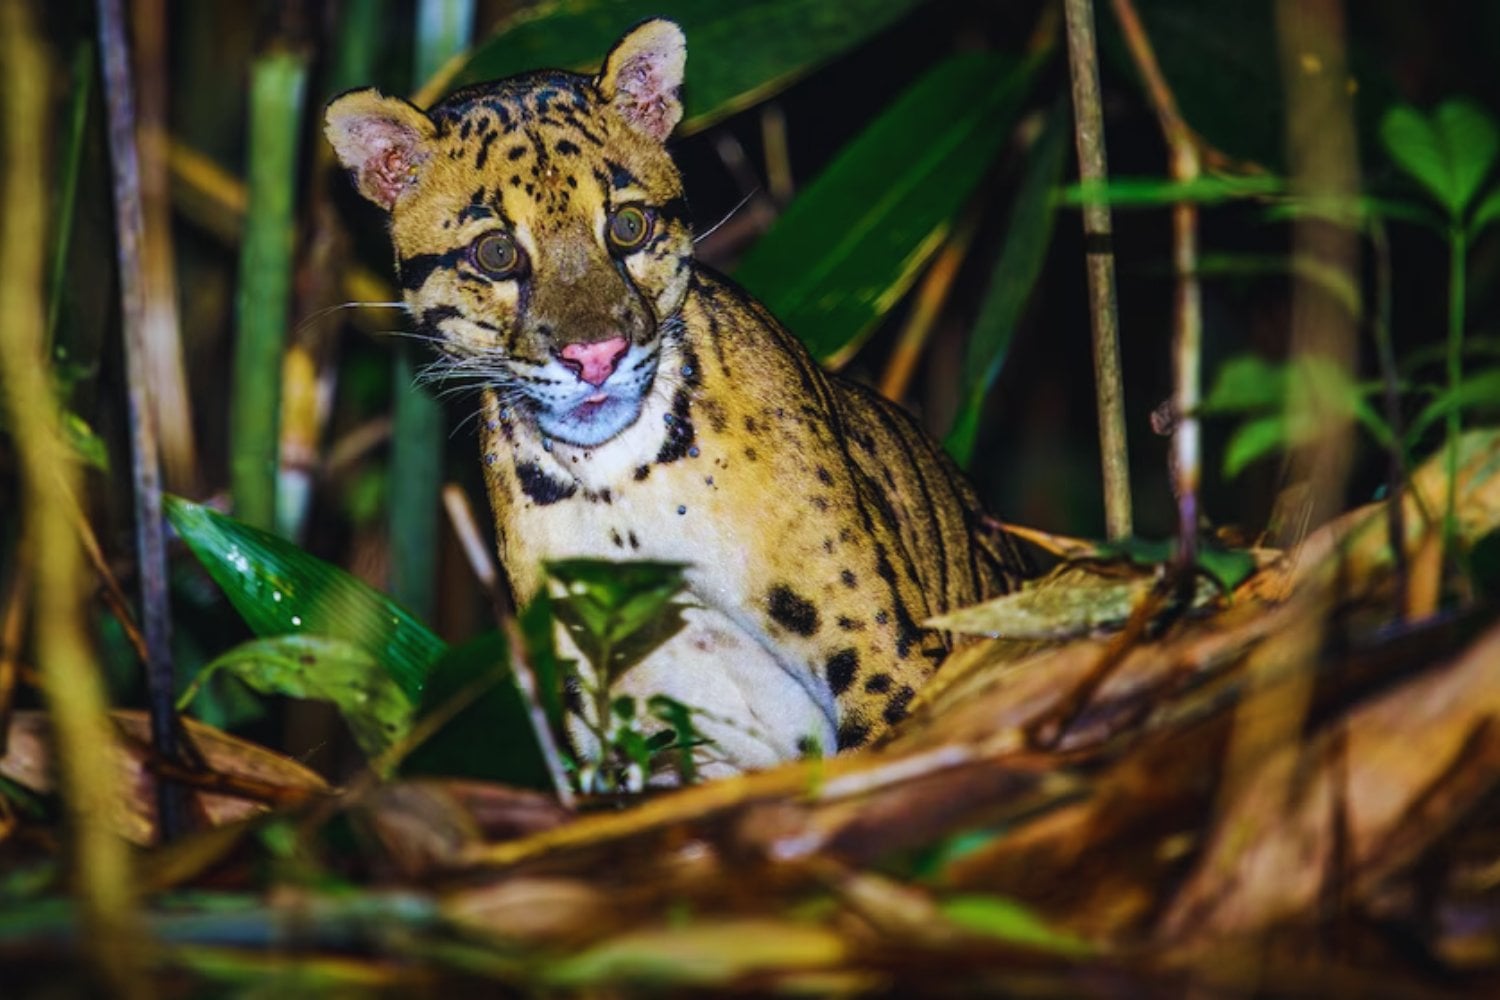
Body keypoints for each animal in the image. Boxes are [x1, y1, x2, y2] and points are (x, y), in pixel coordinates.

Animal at [325, 18, 1029, 779]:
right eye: (496, 254)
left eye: (627, 227)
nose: (595, 355)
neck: (616, 482)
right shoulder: (618, 722)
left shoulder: (881, 658)